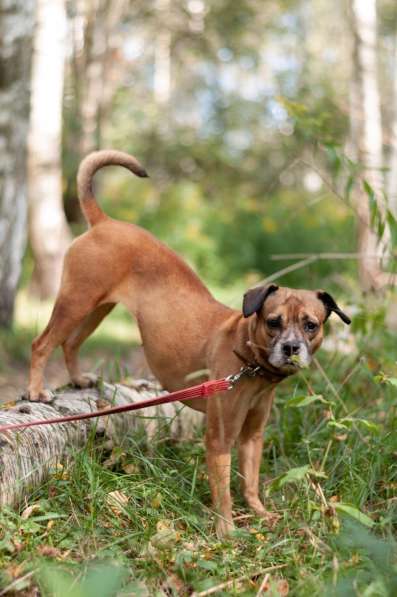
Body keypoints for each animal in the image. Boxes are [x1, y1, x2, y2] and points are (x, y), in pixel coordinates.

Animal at [27, 149, 350, 536]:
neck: (248, 360)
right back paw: (36, 391)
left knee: (70, 344)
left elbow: (250, 481)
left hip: (96, 309)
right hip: (76, 301)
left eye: (311, 325)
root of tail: (104, 222)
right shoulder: (220, 439)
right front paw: (226, 531)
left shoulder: (252, 436)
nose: (291, 348)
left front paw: (259, 513)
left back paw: (77, 379)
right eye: (274, 322)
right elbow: (223, 491)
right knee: (42, 343)